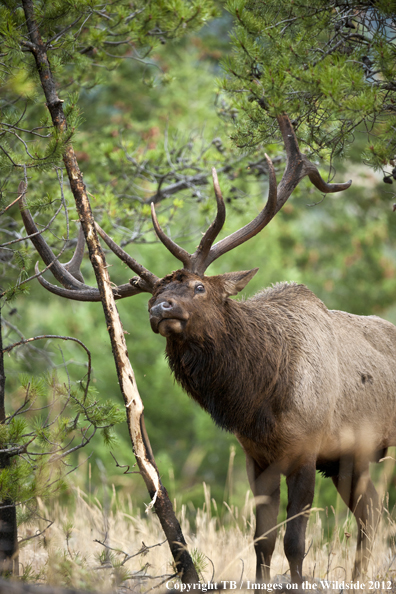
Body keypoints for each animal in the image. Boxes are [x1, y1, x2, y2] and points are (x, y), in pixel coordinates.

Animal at [18, 114, 392, 584]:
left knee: (369, 515)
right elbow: (262, 540)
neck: (262, 398)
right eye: (155, 292)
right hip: (348, 458)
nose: (160, 307)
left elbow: (295, 542)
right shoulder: (258, 456)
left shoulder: (307, 446)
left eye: (198, 286)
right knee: (371, 513)